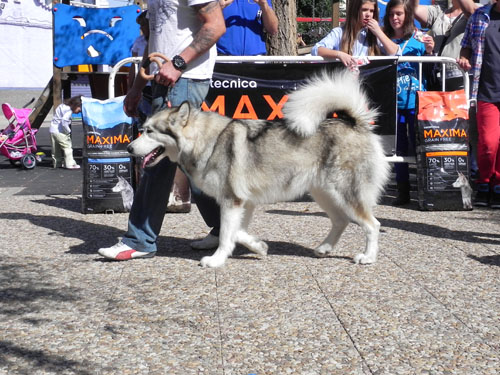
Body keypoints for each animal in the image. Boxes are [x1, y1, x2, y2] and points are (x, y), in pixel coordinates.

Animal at [126, 70, 390, 268]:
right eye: (143, 128)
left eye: (150, 131)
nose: (129, 148)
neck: (207, 140)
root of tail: (354, 122)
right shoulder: (243, 202)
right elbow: (236, 232)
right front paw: (259, 247)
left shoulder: (232, 200)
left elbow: (227, 234)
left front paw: (216, 260)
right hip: (323, 193)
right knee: (341, 221)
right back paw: (324, 248)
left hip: (344, 193)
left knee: (372, 225)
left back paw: (368, 257)